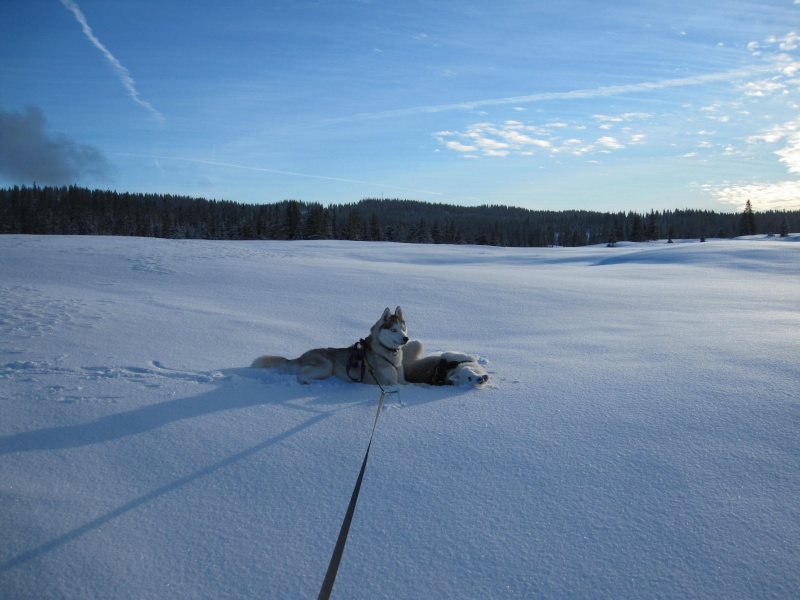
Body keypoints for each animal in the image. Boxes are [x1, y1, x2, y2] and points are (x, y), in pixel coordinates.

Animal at [253, 308, 410, 386]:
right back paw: (305, 381)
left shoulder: (401, 379)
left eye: (403, 329)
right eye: (393, 330)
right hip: (326, 366)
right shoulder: (391, 383)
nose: (406, 338)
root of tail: (301, 357)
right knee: (300, 375)